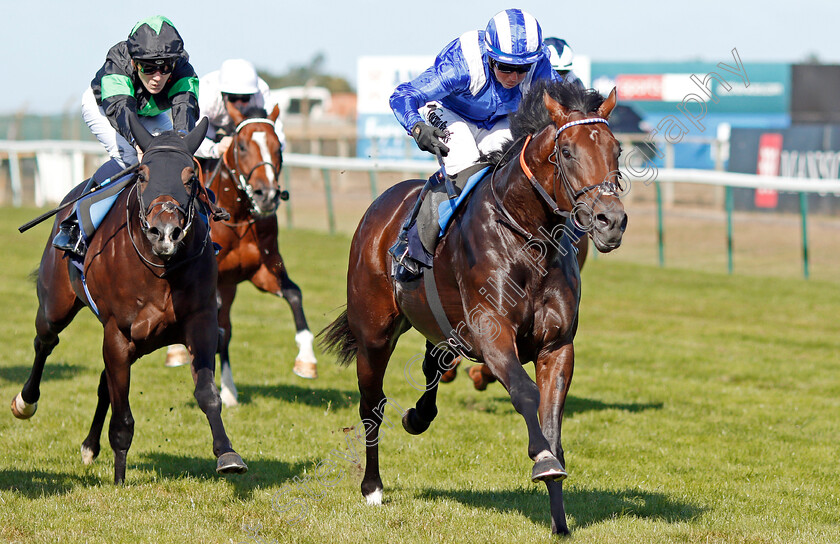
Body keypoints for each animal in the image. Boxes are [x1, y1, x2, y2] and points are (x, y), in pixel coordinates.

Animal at [10, 116, 246, 484]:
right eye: (143, 174)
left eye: (191, 177)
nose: (165, 232)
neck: (161, 269)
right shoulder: (118, 333)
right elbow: (122, 415)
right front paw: (120, 479)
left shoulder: (200, 321)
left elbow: (208, 393)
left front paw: (228, 454)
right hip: (56, 306)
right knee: (45, 340)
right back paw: (25, 402)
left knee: (104, 381)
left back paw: (89, 446)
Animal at [164, 101, 316, 404]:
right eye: (242, 146)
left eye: (278, 146)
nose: (266, 195)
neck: (238, 216)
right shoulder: (212, 281)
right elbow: (215, 330)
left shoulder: (263, 269)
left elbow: (294, 294)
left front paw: (306, 360)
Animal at [318, 81, 628, 536]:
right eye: (567, 151)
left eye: (616, 149)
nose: (611, 221)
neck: (528, 238)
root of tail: (382, 204)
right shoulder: (493, 334)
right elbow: (526, 392)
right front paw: (543, 461)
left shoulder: (557, 346)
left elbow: (552, 417)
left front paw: (559, 519)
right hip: (373, 334)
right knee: (371, 406)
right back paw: (372, 487)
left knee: (432, 365)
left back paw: (418, 416)